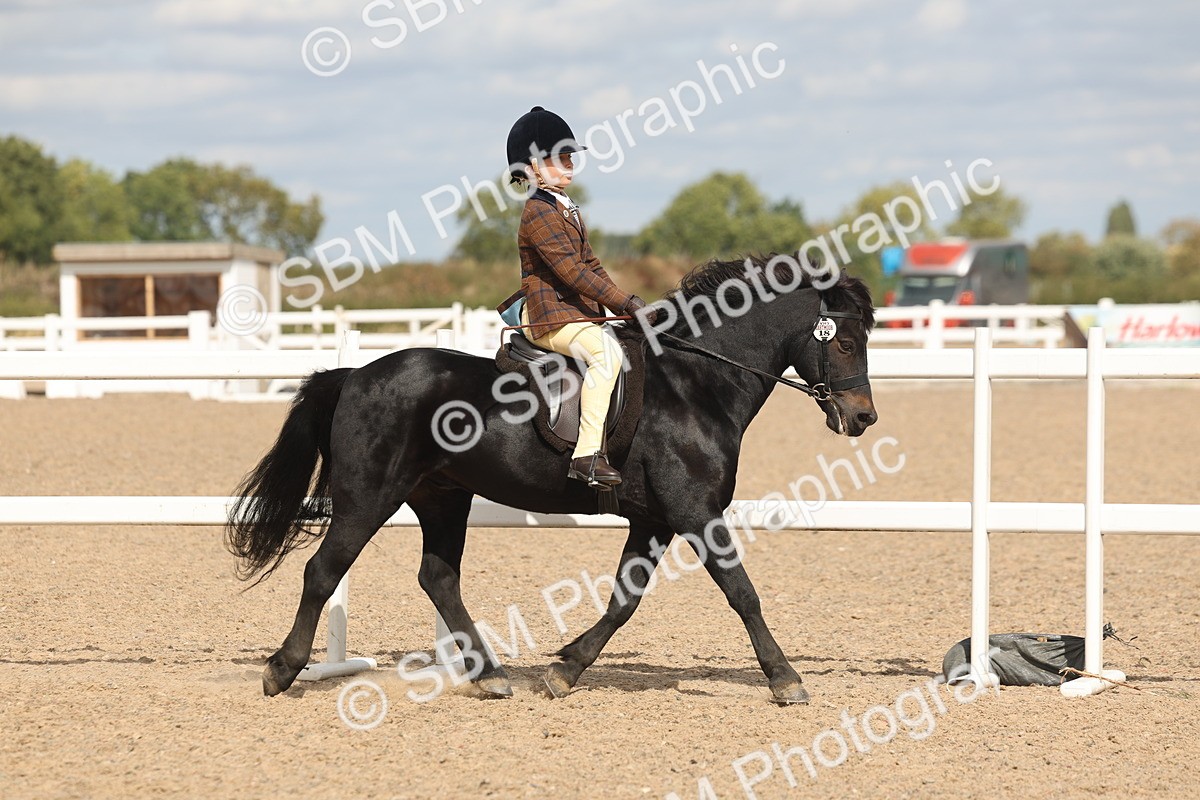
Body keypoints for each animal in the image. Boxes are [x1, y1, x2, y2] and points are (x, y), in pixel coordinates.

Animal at [226, 255, 877, 704]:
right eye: (845, 341)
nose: (862, 418)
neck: (695, 385)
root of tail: (356, 374)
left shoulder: (654, 519)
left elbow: (624, 600)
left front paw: (565, 669)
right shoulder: (695, 513)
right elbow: (741, 591)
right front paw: (786, 679)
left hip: (443, 498)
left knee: (438, 577)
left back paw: (490, 676)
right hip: (369, 497)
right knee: (324, 570)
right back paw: (282, 670)